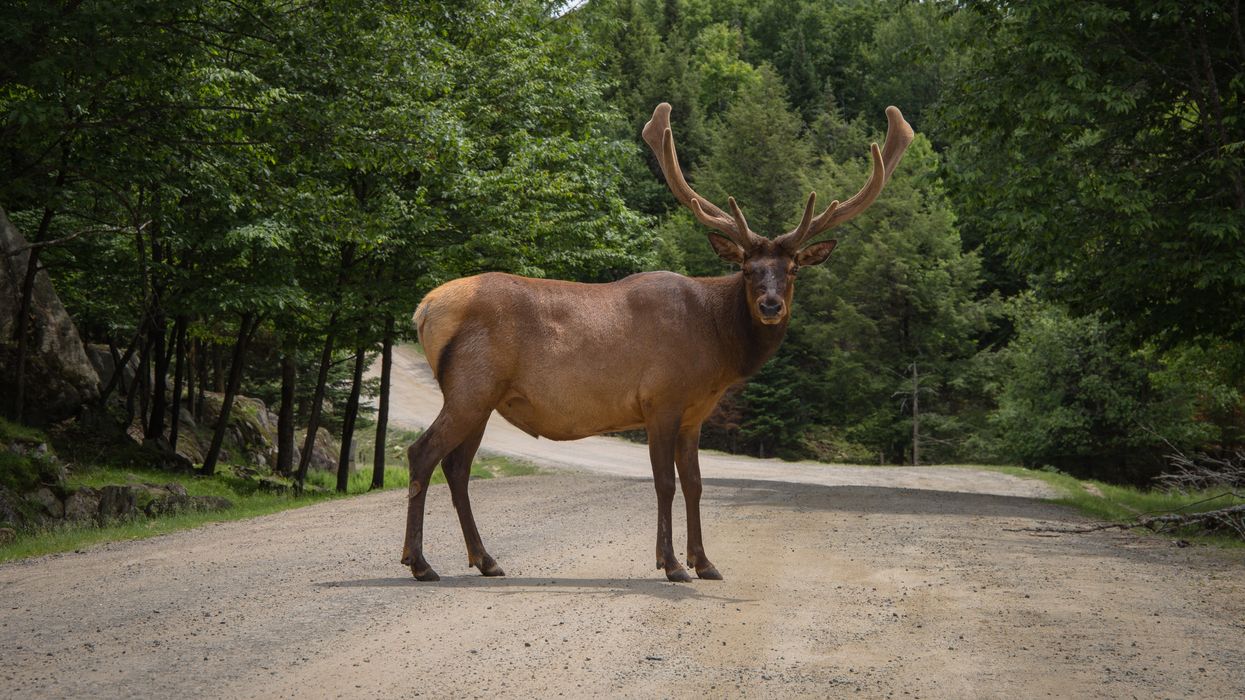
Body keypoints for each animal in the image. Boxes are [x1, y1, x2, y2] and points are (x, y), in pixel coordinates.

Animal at [402, 102, 913, 582]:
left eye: (792, 271)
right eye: (747, 268)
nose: (770, 305)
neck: (717, 349)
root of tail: (424, 308)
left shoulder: (695, 414)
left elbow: (695, 483)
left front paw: (705, 562)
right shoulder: (660, 399)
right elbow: (664, 483)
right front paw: (671, 564)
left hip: (483, 397)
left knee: (458, 467)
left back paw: (485, 560)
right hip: (471, 386)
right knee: (423, 453)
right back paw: (420, 562)